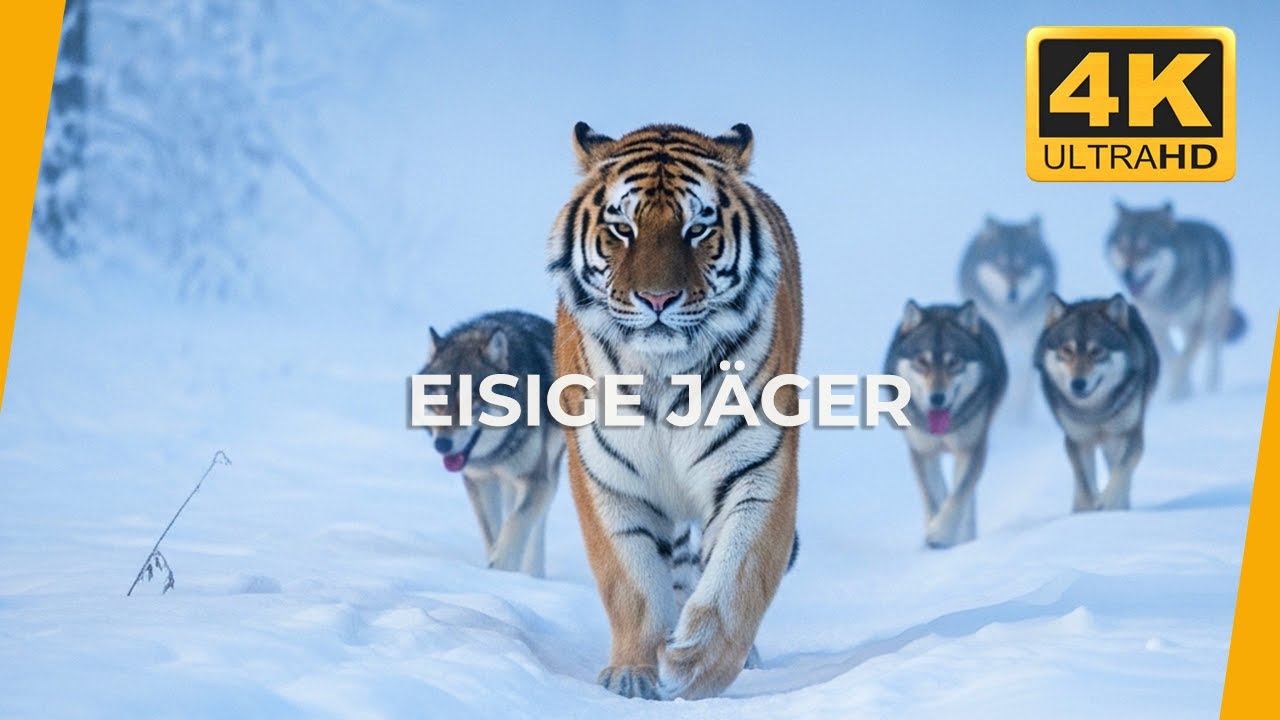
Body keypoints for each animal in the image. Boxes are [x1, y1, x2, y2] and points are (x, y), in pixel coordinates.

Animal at [417, 310, 564, 578]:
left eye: (471, 403)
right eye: (438, 403)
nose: (442, 444)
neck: (498, 452)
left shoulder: (536, 479)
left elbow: (517, 523)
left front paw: (504, 569)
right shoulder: (480, 480)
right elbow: (493, 531)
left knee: (537, 524)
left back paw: (534, 574)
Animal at [546, 122, 802, 700]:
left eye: (697, 228)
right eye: (622, 228)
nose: (657, 299)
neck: (664, 374)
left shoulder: (757, 471)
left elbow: (737, 578)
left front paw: (698, 665)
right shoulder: (608, 480)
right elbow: (634, 585)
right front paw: (632, 675)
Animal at [884, 300, 1008, 548]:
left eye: (954, 362)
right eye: (923, 362)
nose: (937, 398)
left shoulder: (971, 448)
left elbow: (958, 498)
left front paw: (941, 535)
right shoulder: (922, 452)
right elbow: (933, 499)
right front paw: (933, 533)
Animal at [1035, 294, 1158, 512]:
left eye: (1097, 351)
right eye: (1067, 350)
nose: (1077, 383)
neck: (1095, 411)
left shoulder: (1129, 433)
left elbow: (1121, 472)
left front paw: (1109, 505)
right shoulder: (1078, 440)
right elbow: (1084, 485)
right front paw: (1087, 513)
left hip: (1112, 440)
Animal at [1106, 201, 1245, 399]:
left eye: (1146, 249)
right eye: (1122, 247)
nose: (1127, 274)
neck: (1165, 296)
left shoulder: (1197, 325)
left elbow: (1182, 362)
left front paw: (1176, 396)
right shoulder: (1156, 326)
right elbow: (1173, 359)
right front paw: (1184, 391)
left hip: (1212, 320)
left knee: (1213, 356)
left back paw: (1211, 388)